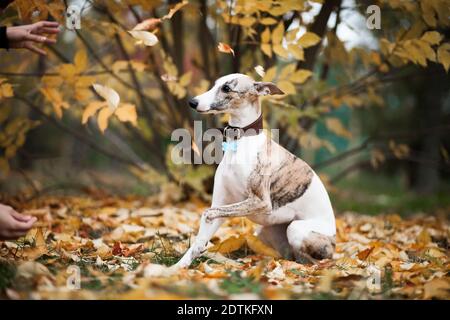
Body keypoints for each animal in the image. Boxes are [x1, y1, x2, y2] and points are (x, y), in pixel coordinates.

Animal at [174, 74, 336, 268]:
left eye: (226, 88)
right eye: (214, 84)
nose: (192, 102)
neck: (241, 142)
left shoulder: (260, 202)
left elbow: (208, 213)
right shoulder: (222, 200)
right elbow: (199, 240)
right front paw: (176, 269)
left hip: (296, 229)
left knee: (313, 261)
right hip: (267, 231)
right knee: (291, 256)